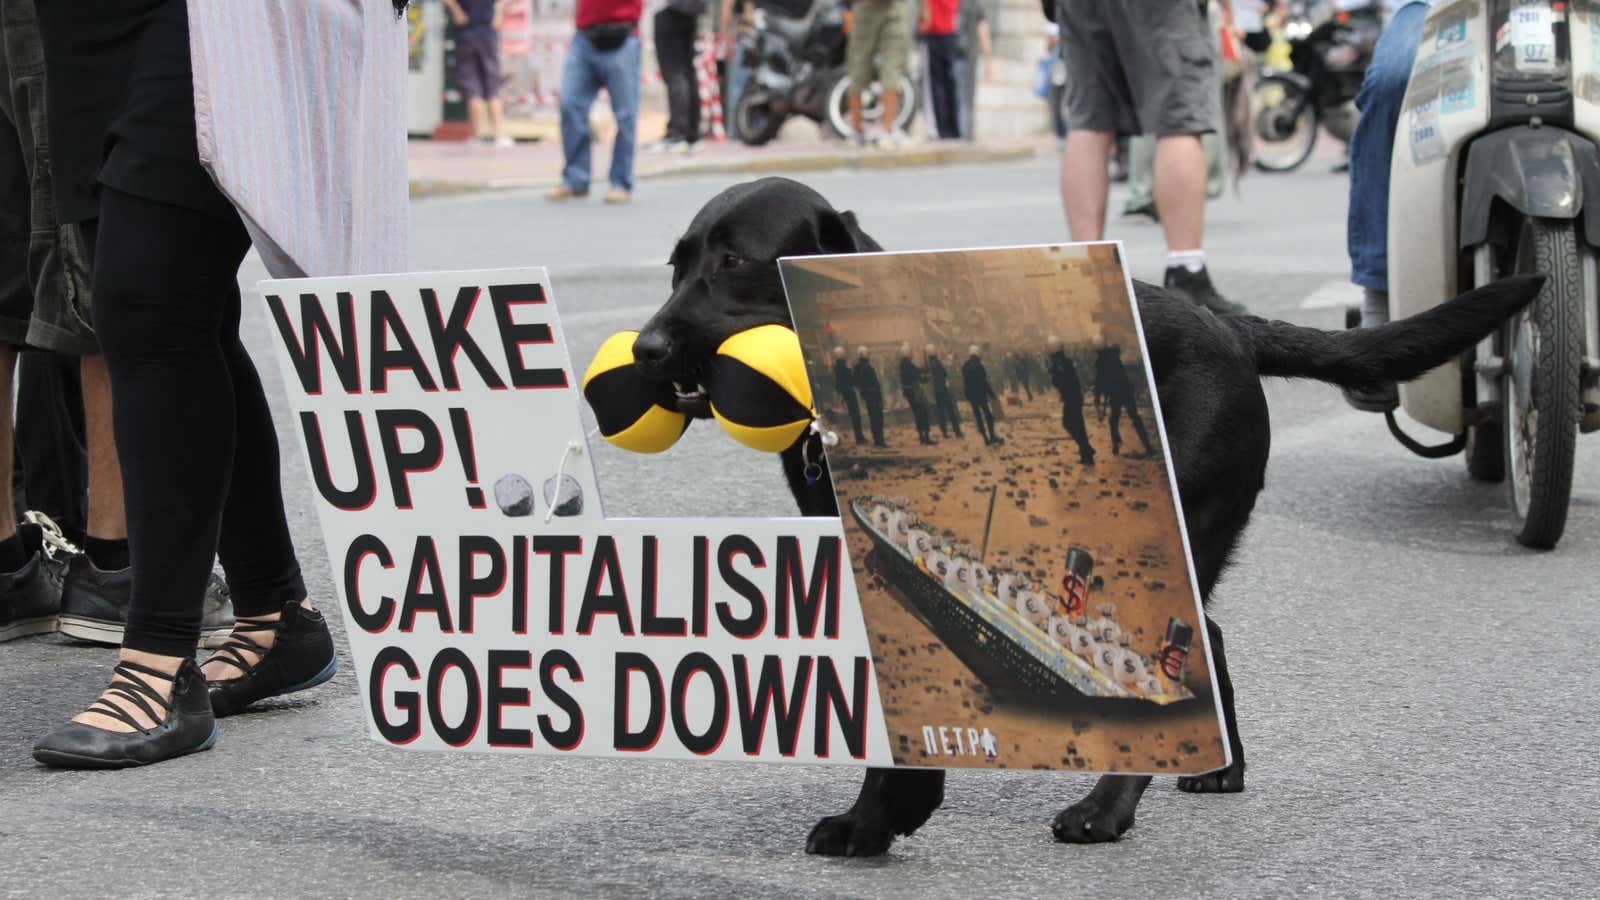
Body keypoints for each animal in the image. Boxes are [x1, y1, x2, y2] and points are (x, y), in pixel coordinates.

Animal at [630, 175, 1542, 851]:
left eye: (733, 260)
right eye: (673, 265)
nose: (644, 348)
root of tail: (1229, 326)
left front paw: (886, 813)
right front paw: (879, 818)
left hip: (1188, 515)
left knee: (1187, 645)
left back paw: (1107, 809)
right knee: (1209, 638)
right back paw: (1219, 766)